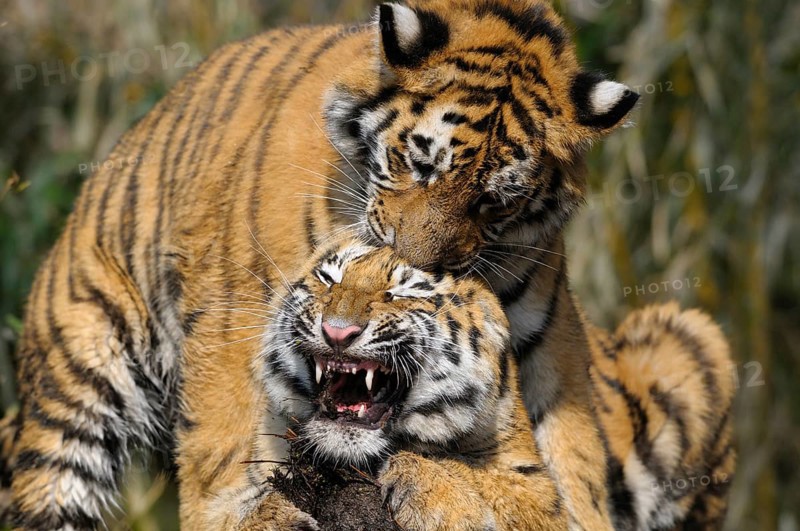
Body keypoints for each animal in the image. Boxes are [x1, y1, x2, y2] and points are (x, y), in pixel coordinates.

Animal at [0, 0, 735, 528]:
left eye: (497, 199)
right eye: (419, 163)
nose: (426, 269)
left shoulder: (548, 345)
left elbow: (569, 459)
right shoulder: (238, 314)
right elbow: (224, 444)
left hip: (690, 342)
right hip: (72, 389)